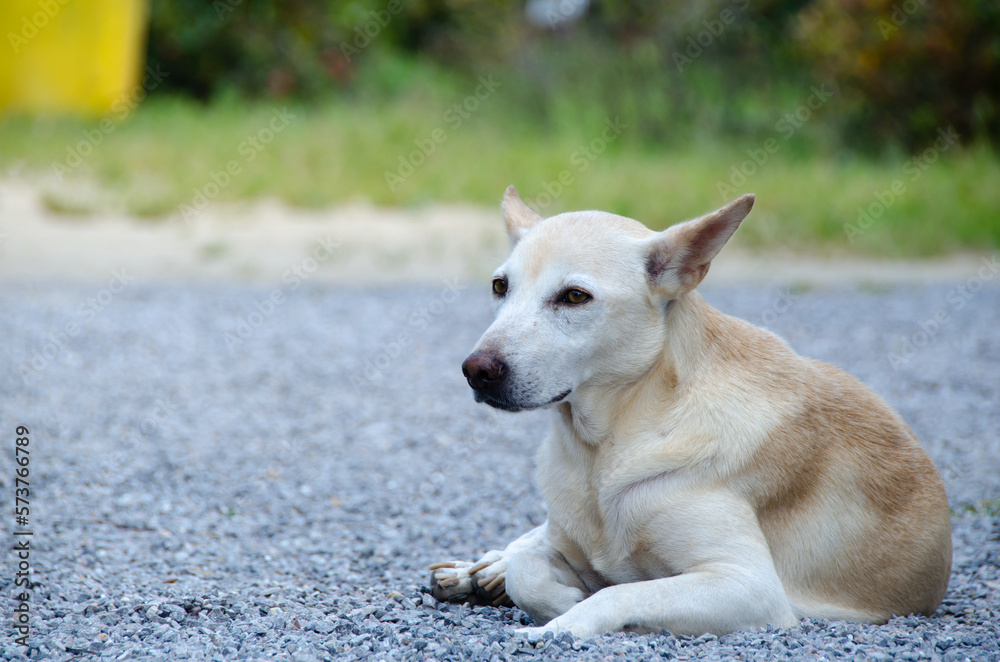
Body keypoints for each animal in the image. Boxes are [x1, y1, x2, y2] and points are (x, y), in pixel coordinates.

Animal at [426, 187, 948, 644]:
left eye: (574, 297)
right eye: (500, 287)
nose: (476, 371)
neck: (607, 446)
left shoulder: (747, 585)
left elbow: (617, 592)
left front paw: (564, 618)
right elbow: (529, 571)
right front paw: (539, 586)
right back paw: (482, 568)